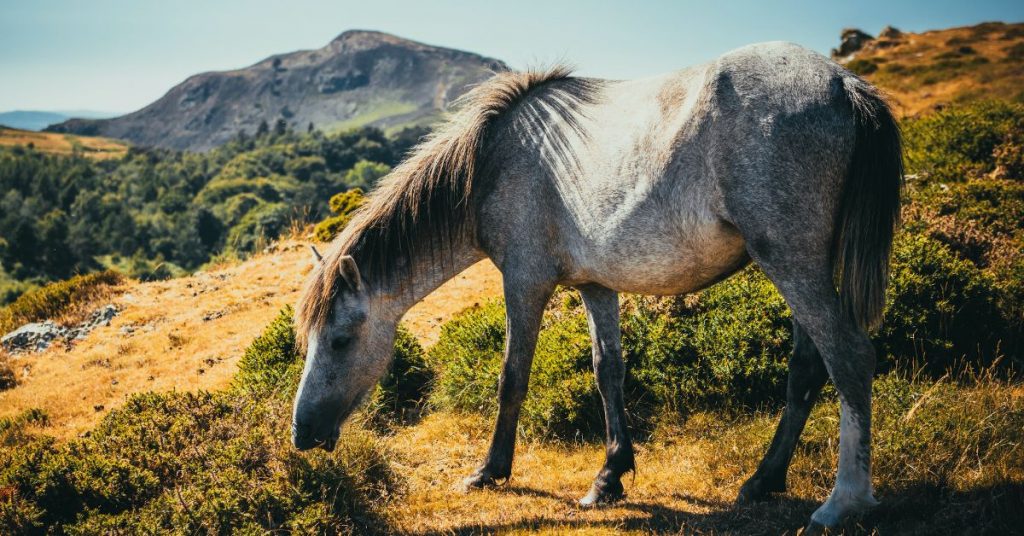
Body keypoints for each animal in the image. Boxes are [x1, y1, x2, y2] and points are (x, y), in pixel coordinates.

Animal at [290, 41, 903, 532]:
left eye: (340, 340)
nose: (302, 434)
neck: (493, 162)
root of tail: (842, 83)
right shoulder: (594, 285)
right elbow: (608, 372)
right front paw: (610, 476)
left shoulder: (525, 282)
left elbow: (512, 377)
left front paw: (490, 471)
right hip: (800, 267)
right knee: (807, 366)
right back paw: (764, 480)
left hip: (792, 262)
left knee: (849, 356)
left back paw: (843, 502)